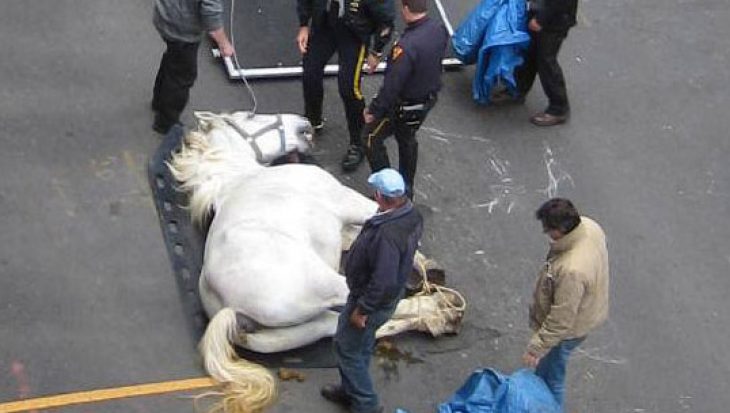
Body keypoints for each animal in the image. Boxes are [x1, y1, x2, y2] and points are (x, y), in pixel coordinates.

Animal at [169, 112, 460, 412]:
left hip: (299, 330)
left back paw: (437, 319)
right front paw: (428, 268)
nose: (304, 124)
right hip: (332, 285)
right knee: (380, 309)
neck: (243, 177)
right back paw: (440, 306)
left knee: (343, 328)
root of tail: (226, 305)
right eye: (250, 115)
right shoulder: (348, 202)